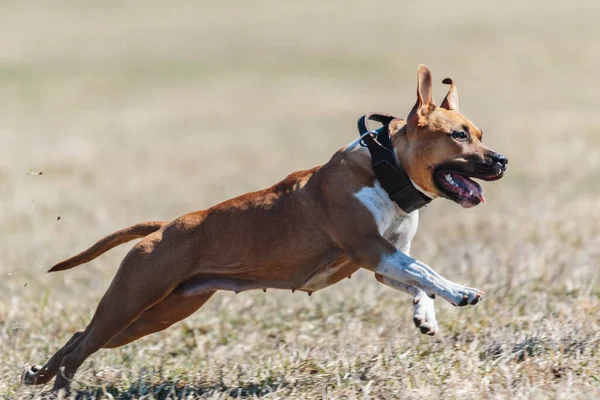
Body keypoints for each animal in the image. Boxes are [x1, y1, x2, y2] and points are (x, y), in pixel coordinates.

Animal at [22, 65, 506, 390]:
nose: (501, 160)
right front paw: (460, 291)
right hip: (132, 299)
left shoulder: (383, 263)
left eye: (479, 133)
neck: (385, 170)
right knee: (83, 344)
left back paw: (39, 375)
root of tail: (166, 227)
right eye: (459, 135)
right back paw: (59, 386)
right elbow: (425, 269)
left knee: (80, 337)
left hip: (154, 315)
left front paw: (426, 315)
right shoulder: (372, 249)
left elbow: (417, 280)